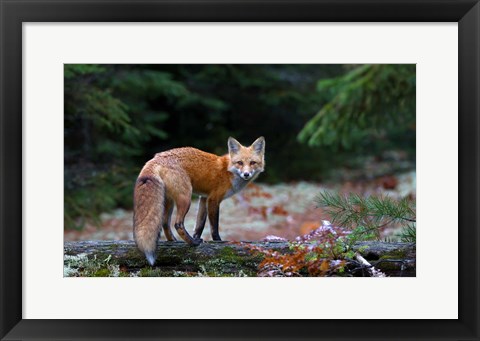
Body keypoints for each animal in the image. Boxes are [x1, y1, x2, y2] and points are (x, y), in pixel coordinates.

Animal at [133, 137, 264, 264]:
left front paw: (196, 237)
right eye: (240, 163)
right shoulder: (213, 199)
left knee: (165, 223)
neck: (228, 171)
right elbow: (214, 227)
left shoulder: (204, 198)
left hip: (169, 201)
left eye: (252, 163)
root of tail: (155, 158)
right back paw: (192, 243)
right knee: (177, 224)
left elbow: (199, 224)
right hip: (186, 198)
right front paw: (218, 241)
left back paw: (174, 241)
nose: (246, 174)